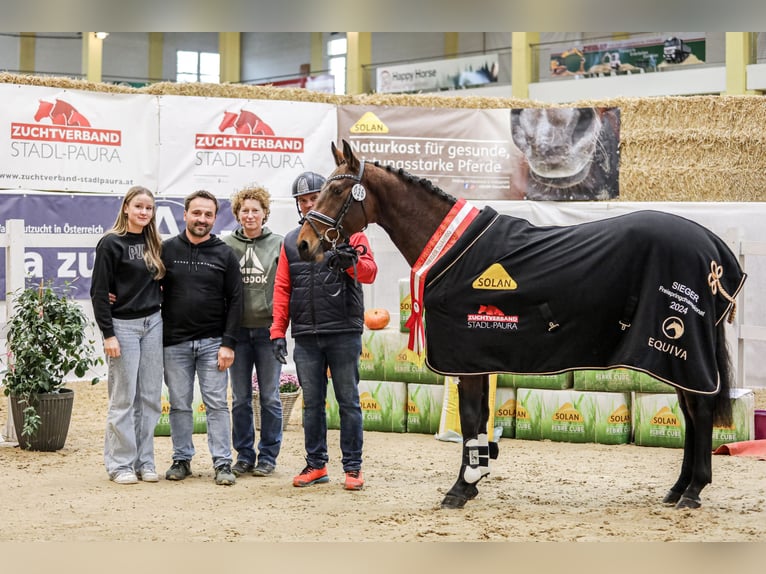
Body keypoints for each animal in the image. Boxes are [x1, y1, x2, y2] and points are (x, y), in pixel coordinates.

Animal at [298, 141, 752, 512]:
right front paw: (475, 480)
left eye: (336, 191)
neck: (454, 250)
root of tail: (713, 250)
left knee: (700, 410)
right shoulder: (478, 359)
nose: (304, 244)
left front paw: (460, 489)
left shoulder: (466, 359)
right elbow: (479, 422)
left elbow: (470, 421)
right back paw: (677, 489)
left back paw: (693, 491)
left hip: (676, 350)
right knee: (690, 413)